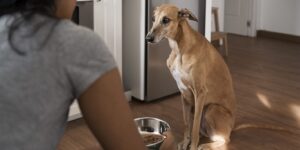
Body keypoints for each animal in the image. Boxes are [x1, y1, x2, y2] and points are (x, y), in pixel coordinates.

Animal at [146, 4, 237, 149]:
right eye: (154, 19)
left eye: (165, 20)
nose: (148, 38)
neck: (180, 49)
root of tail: (232, 127)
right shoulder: (184, 95)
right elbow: (187, 124)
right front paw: (185, 143)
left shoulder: (200, 93)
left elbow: (194, 126)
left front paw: (192, 145)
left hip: (211, 109)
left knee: (225, 139)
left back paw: (205, 145)